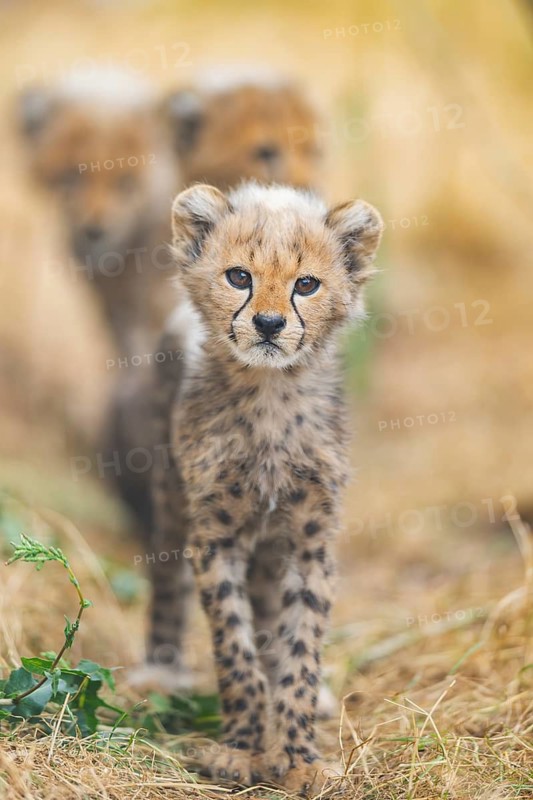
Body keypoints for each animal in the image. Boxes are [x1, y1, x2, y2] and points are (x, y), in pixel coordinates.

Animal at [146, 181, 383, 794]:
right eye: (238, 277)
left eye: (307, 284)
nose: (271, 324)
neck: (269, 393)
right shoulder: (216, 536)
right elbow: (235, 649)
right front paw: (241, 749)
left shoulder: (309, 540)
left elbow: (300, 645)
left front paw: (298, 754)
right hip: (170, 499)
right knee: (166, 588)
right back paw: (157, 672)